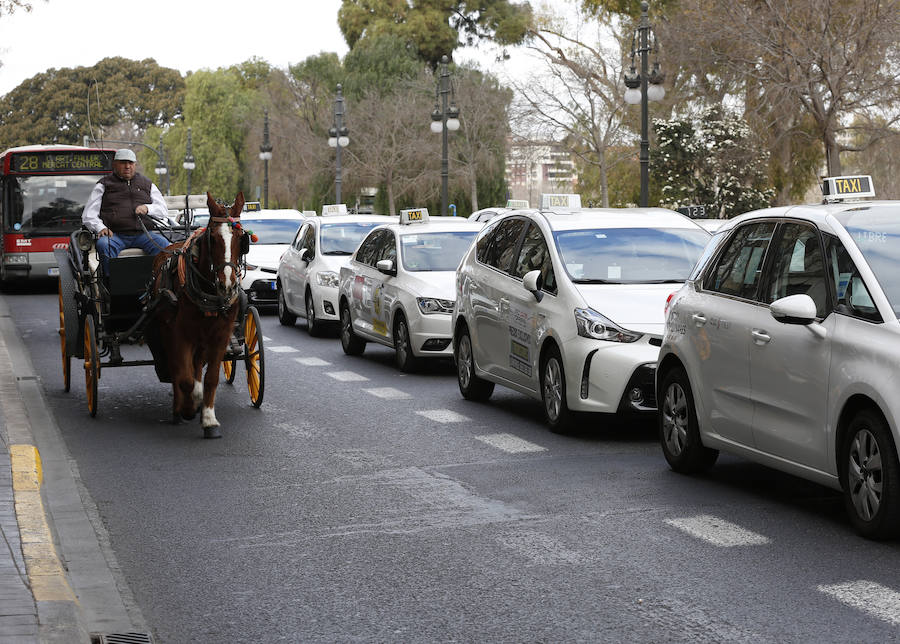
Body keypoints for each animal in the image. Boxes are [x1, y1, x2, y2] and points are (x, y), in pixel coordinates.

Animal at [150, 191, 250, 438]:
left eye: (240, 238)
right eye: (212, 238)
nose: (227, 284)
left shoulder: (220, 335)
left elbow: (211, 378)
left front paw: (209, 419)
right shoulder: (179, 334)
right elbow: (183, 377)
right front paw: (189, 406)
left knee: (196, 365)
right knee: (178, 369)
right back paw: (179, 409)